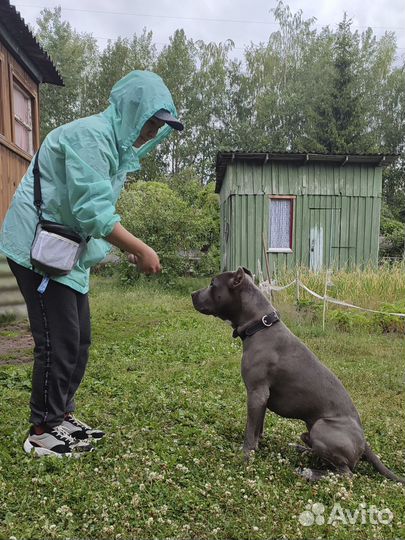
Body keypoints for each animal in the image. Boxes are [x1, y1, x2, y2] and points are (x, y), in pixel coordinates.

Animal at [192, 268, 404, 484]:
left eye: (212, 284)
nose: (192, 294)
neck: (260, 326)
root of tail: (364, 442)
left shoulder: (256, 393)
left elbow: (250, 431)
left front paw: (245, 456)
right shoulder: (262, 398)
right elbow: (258, 428)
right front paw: (256, 447)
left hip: (321, 427)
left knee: (345, 474)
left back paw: (310, 472)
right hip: (309, 430)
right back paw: (301, 450)